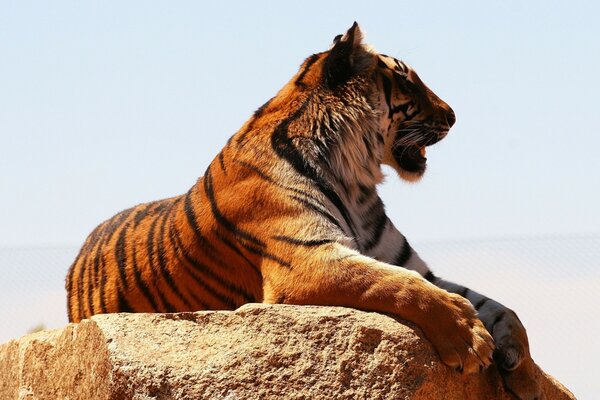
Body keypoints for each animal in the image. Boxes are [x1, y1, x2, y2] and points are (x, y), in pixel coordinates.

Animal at [68, 22, 540, 400]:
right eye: (408, 81)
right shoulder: (304, 258)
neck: (356, 180)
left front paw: (526, 374)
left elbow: (497, 305)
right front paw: (468, 339)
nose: (453, 116)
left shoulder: (409, 262)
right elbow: (399, 286)